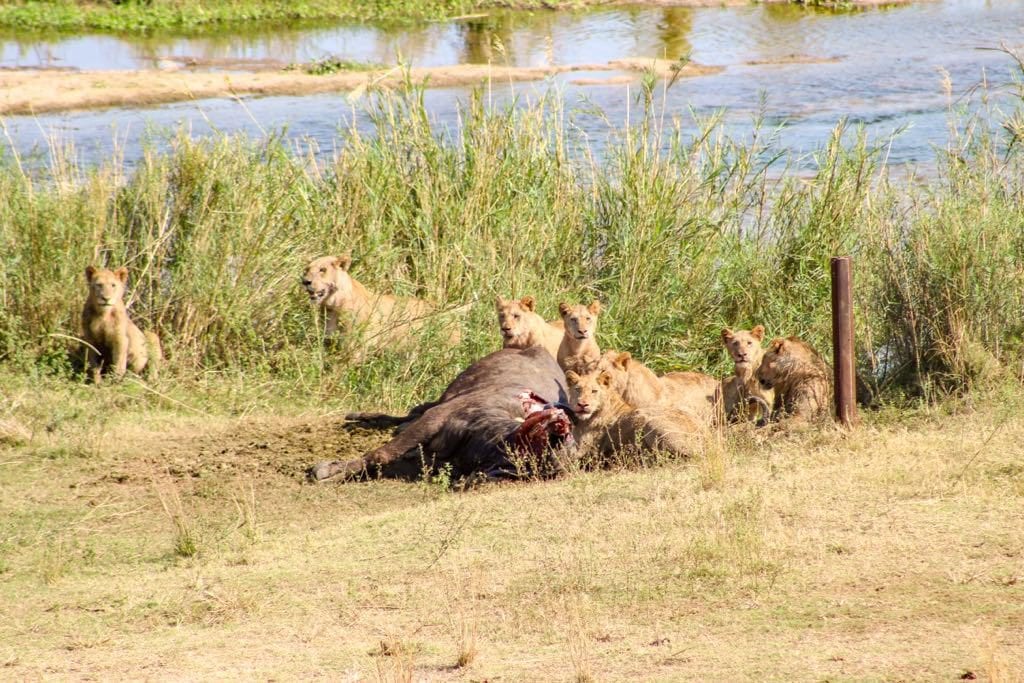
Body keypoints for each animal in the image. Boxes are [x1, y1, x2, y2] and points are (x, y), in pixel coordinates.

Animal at [302, 254, 461, 349]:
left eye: (322, 269)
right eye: (307, 269)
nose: (305, 281)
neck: (332, 306)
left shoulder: (357, 344)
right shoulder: (329, 340)